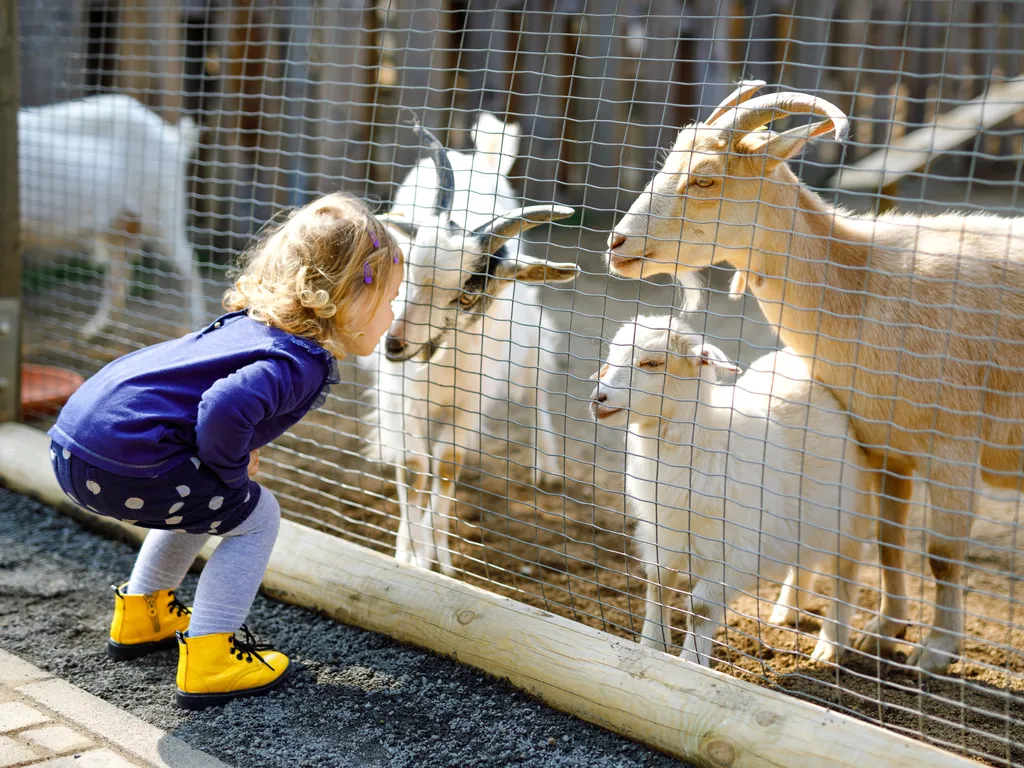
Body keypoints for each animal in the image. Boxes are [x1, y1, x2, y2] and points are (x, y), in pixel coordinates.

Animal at [20, 94, 203, 339]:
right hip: (118, 224)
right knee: (119, 270)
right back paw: (94, 329)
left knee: (188, 264)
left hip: (162, 212)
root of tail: (172, 139)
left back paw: (195, 325)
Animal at [368, 112, 581, 573]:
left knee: (536, 389)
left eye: (465, 295)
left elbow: (447, 467)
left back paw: (547, 468)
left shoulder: (470, 403)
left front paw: (440, 561)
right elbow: (414, 467)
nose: (394, 345)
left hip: (527, 343)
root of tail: (481, 158)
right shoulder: (401, 396)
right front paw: (408, 555)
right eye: (407, 271)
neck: (441, 361)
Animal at [593, 317, 872, 667]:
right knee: (804, 559)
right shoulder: (663, 534)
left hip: (851, 511)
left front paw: (692, 662)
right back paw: (786, 611)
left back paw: (830, 645)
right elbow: (658, 587)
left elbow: (700, 608)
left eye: (652, 363)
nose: (598, 398)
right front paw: (651, 647)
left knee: (844, 574)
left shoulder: (734, 550)